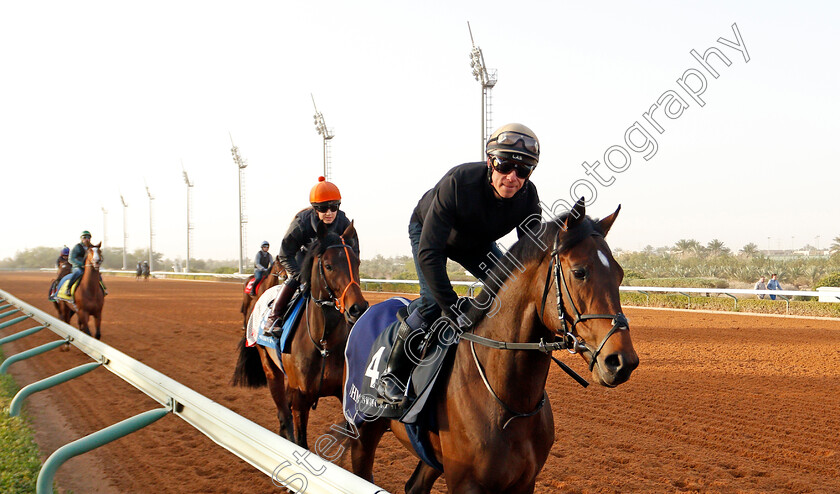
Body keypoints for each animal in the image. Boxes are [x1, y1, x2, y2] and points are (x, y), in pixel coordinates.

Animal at [235, 222, 370, 450]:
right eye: (328, 265)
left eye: (357, 262)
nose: (357, 308)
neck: (324, 343)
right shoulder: (301, 401)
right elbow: (300, 439)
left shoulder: (343, 395)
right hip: (270, 369)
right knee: (283, 414)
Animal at [342, 201, 636, 494]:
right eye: (579, 272)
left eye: (620, 274)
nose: (623, 361)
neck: (511, 404)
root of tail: (369, 311)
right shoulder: (466, 484)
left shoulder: (525, 481)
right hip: (363, 430)